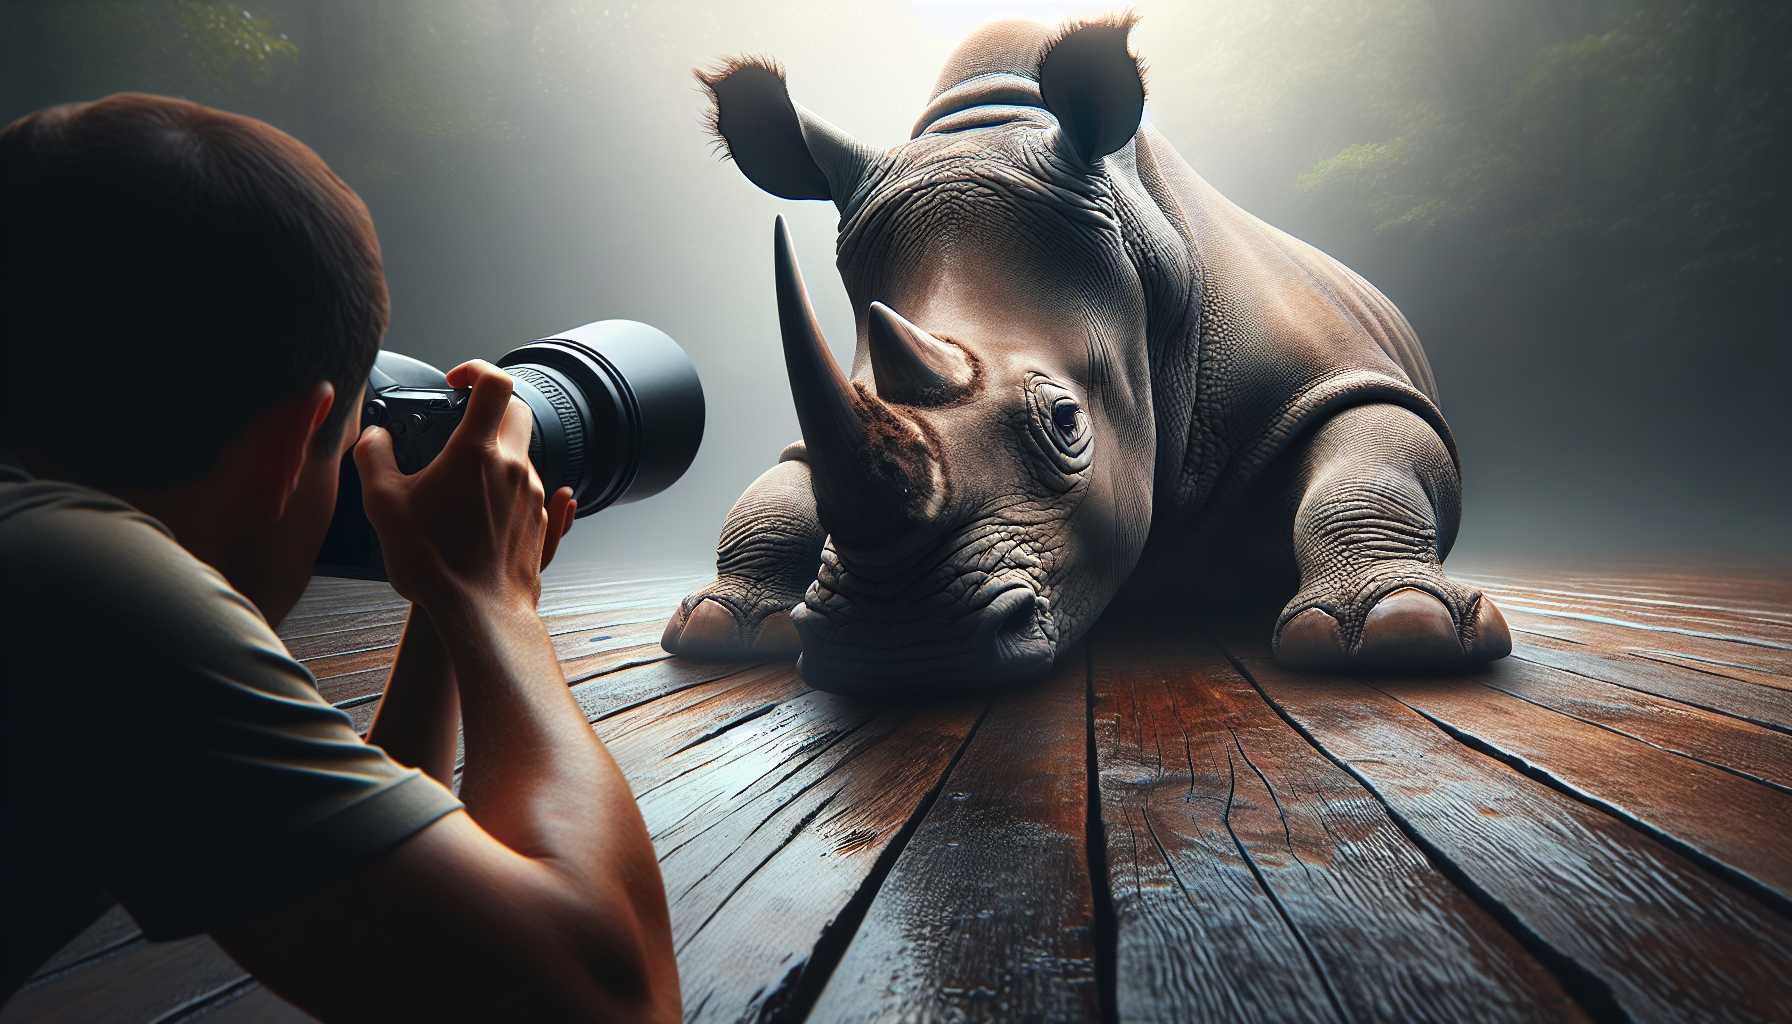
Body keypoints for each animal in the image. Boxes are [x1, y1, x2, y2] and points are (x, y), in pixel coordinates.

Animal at [661, 16, 1512, 691]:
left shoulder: (1337, 374)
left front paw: (1403, 628)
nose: (898, 646)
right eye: (859, 385)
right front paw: (718, 626)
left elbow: (1372, 455)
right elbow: (779, 486)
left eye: (1068, 422)